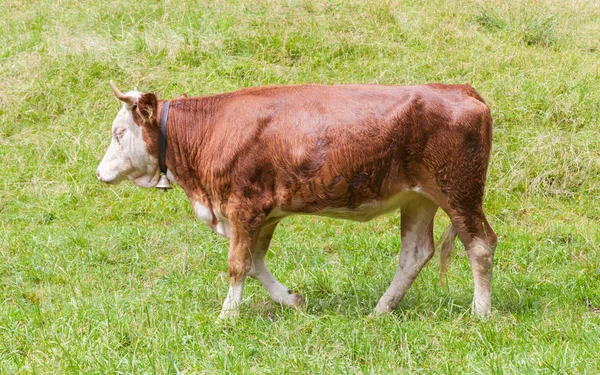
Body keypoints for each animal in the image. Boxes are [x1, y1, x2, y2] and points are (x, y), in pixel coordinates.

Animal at [97, 81, 496, 318]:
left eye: (119, 132)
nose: (100, 173)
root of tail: (461, 89)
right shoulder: (265, 212)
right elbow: (255, 263)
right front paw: (291, 299)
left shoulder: (245, 205)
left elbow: (238, 264)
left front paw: (227, 316)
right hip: (419, 197)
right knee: (415, 253)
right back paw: (381, 309)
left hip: (459, 191)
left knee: (480, 244)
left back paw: (480, 312)